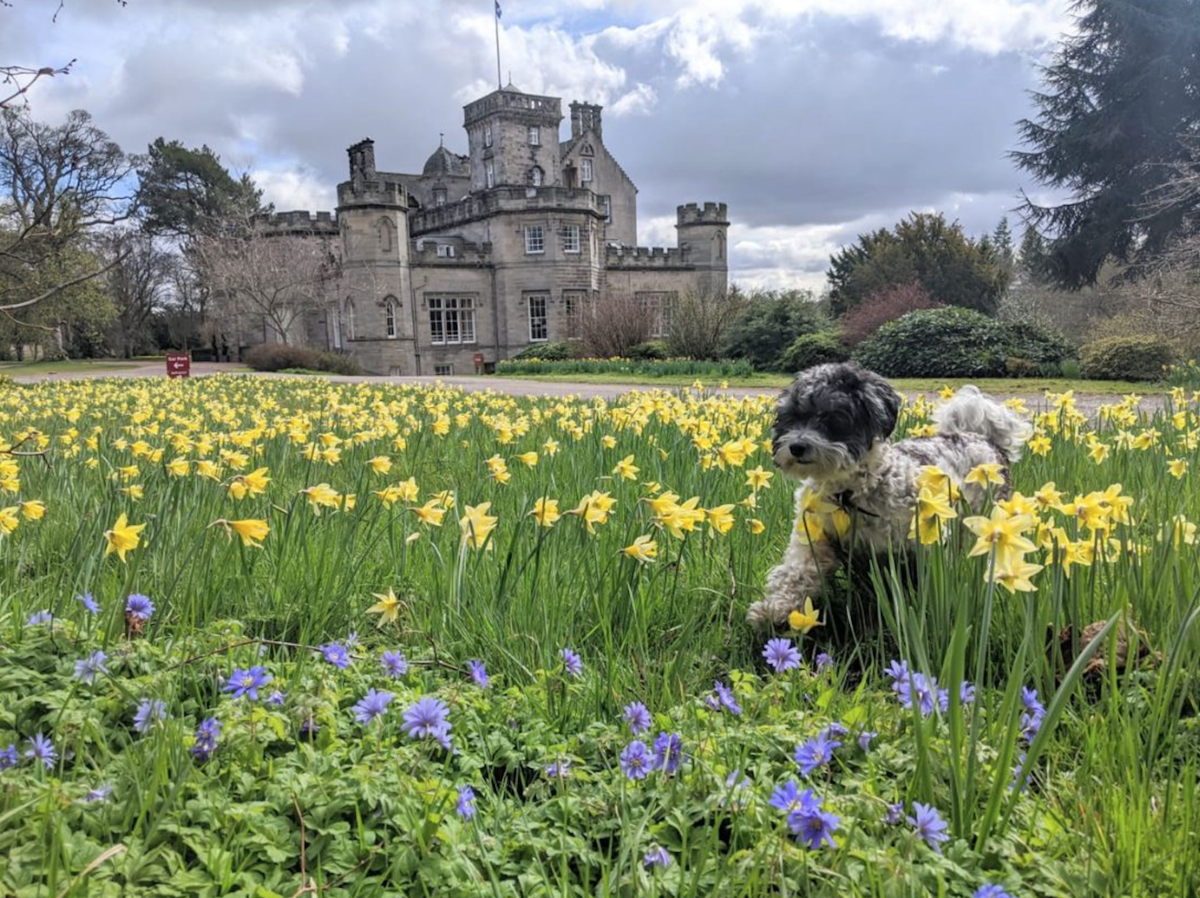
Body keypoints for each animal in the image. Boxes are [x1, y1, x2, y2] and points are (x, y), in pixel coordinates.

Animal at [748, 360, 1032, 629]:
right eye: (791, 417)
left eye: (832, 417)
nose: (797, 447)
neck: (847, 495)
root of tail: (983, 438)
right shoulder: (813, 537)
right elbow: (796, 572)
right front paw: (773, 609)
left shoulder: (923, 539)